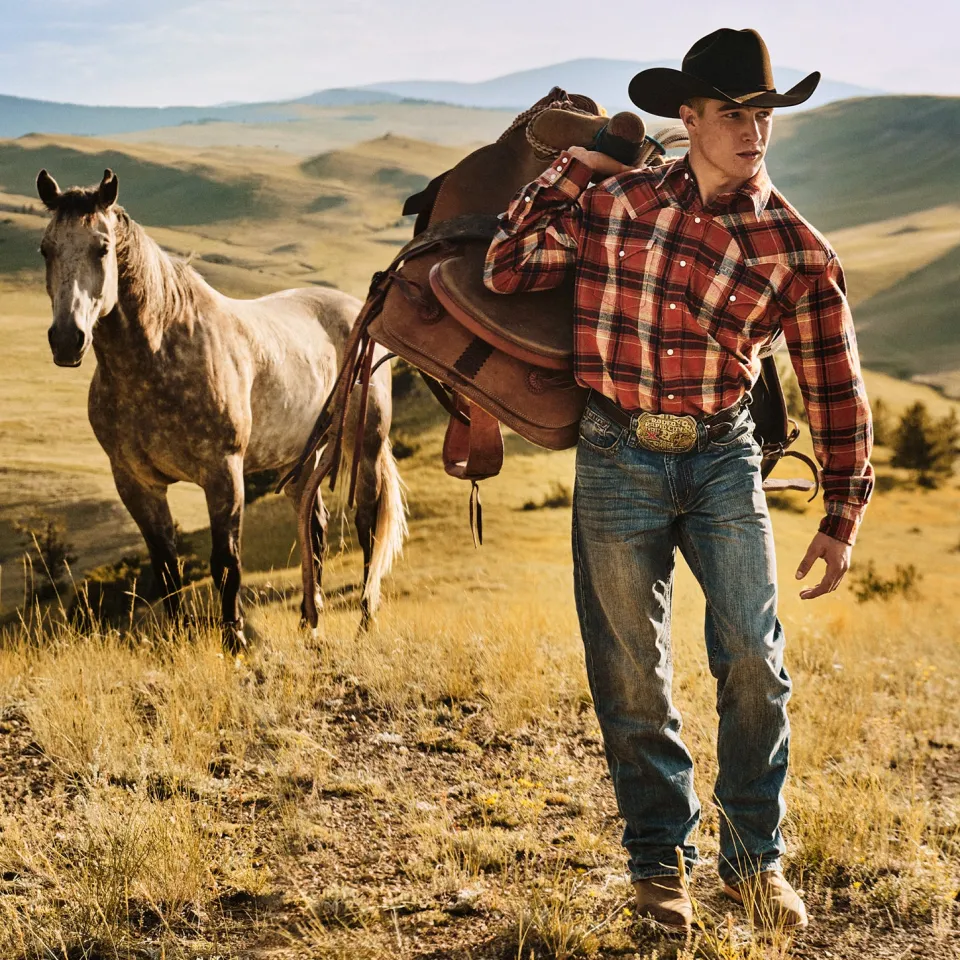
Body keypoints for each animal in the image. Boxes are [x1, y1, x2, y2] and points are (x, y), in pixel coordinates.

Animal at [35, 167, 404, 644]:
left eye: (101, 247)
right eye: (46, 249)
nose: (67, 340)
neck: (157, 355)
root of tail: (360, 310)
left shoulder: (223, 474)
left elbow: (226, 564)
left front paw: (236, 643)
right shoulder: (136, 483)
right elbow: (166, 568)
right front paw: (174, 643)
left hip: (366, 448)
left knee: (366, 524)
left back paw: (365, 621)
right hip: (302, 459)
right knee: (315, 525)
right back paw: (310, 622)